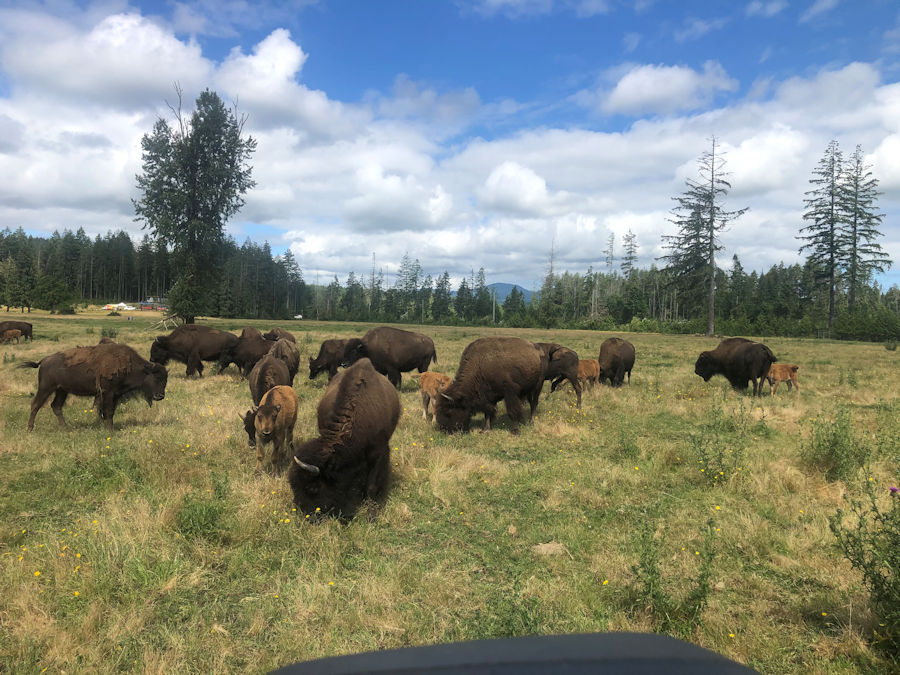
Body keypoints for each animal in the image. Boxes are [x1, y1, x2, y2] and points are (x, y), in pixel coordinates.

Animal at [21, 343, 167, 431]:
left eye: (165, 379)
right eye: (156, 377)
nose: (160, 396)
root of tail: (44, 360)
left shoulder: (116, 395)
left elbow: (110, 412)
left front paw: (109, 427)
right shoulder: (107, 393)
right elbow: (107, 411)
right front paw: (110, 431)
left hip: (61, 391)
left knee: (56, 406)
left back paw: (65, 428)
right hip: (46, 388)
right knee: (35, 404)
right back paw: (30, 429)